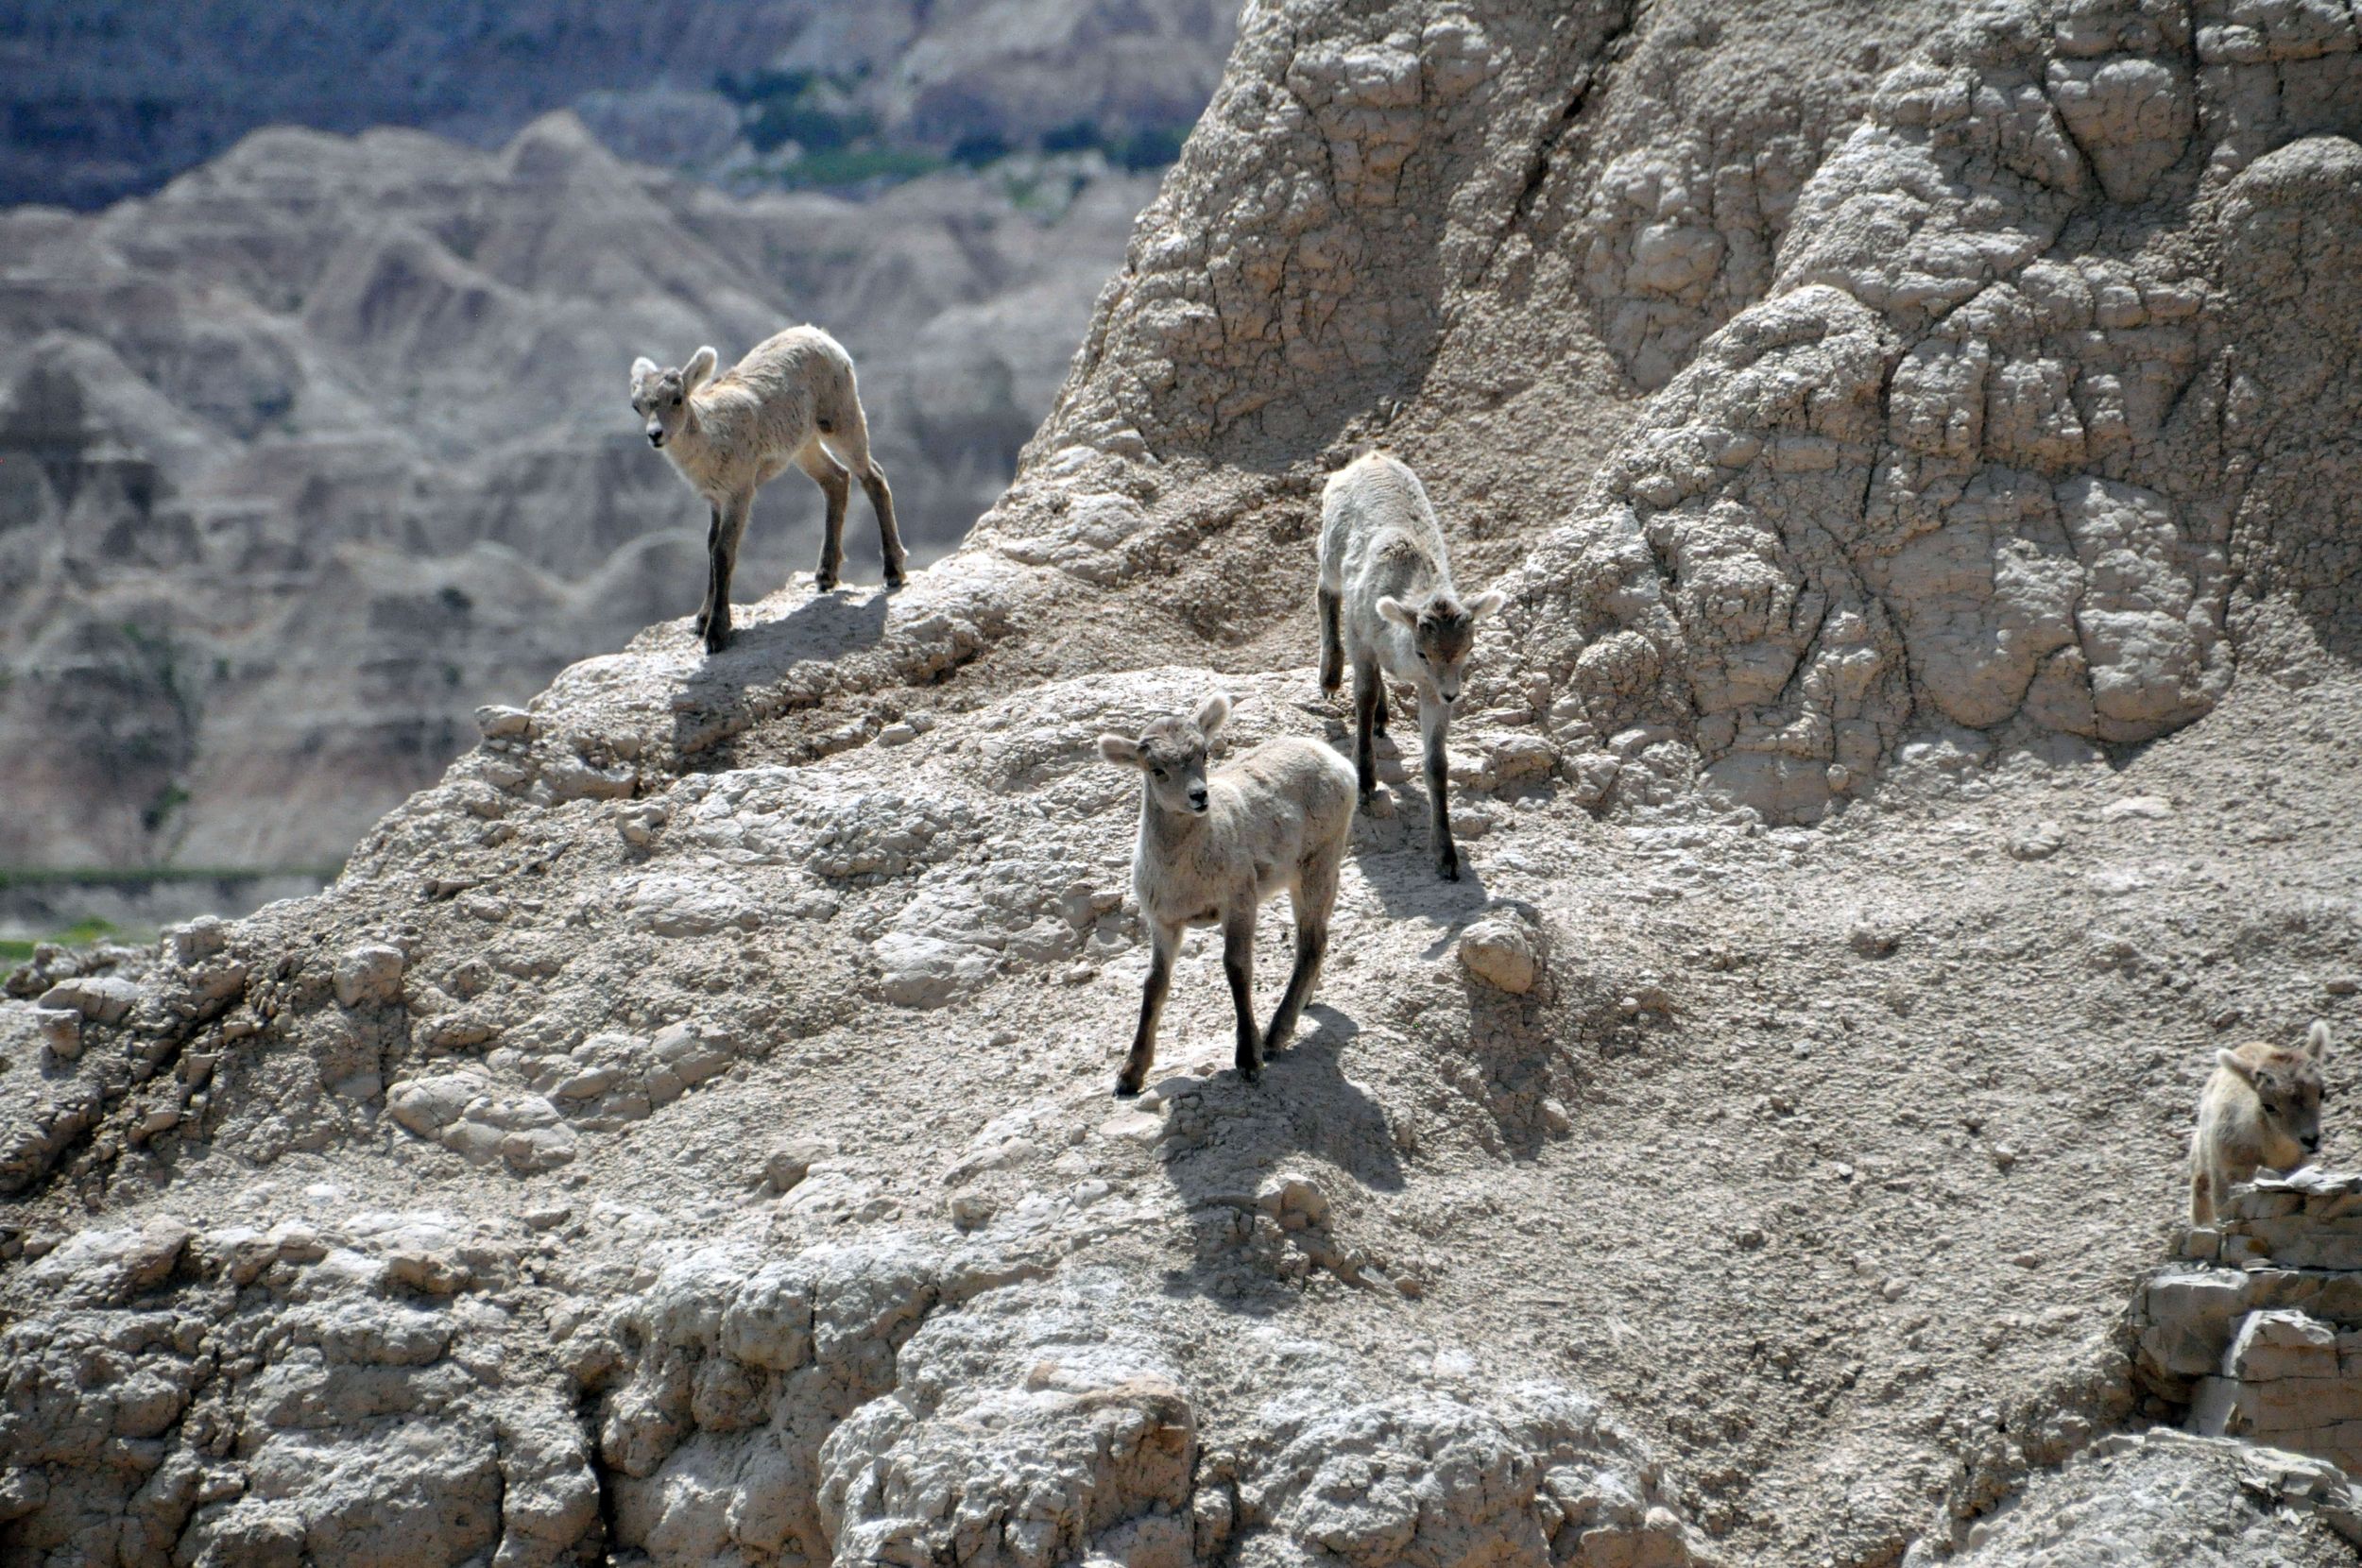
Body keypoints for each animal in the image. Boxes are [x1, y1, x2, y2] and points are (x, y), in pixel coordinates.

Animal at [630, 324, 906, 654]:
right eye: (637, 406)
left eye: (677, 399)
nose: (655, 435)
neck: (712, 437)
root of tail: (819, 334)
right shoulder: (715, 500)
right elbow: (710, 548)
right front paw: (701, 620)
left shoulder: (739, 494)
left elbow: (723, 552)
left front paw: (717, 633)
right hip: (805, 446)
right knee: (836, 480)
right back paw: (826, 576)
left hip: (841, 421)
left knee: (873, 477)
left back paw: (893, 572)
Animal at [1097, 694, 1356, 1096]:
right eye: (1156, 769)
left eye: (1203, 754)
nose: (1198, 797)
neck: (1185, 876)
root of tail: (1337, 762)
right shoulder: (1163, 922)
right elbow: (1154, 983)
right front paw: (1129, 1076)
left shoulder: (1239, 903)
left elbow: (1237, 969)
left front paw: (1249, 1059)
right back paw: (1303, 1005)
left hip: (1318, 866)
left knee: (1312, 942)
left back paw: (1276, 1035)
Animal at [1317, 450, 1505, 880]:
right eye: (1423, 652)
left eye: (1469, 647)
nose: (1453, 694)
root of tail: (1369, 458)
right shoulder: (1362, 644)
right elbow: (1364, 698)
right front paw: (1366, 783)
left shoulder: (1430, 691)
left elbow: (1436, 766)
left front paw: (1446, 857)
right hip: (1331, 558)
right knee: (1324, 592)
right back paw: (1329, 678)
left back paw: (1385, 716)